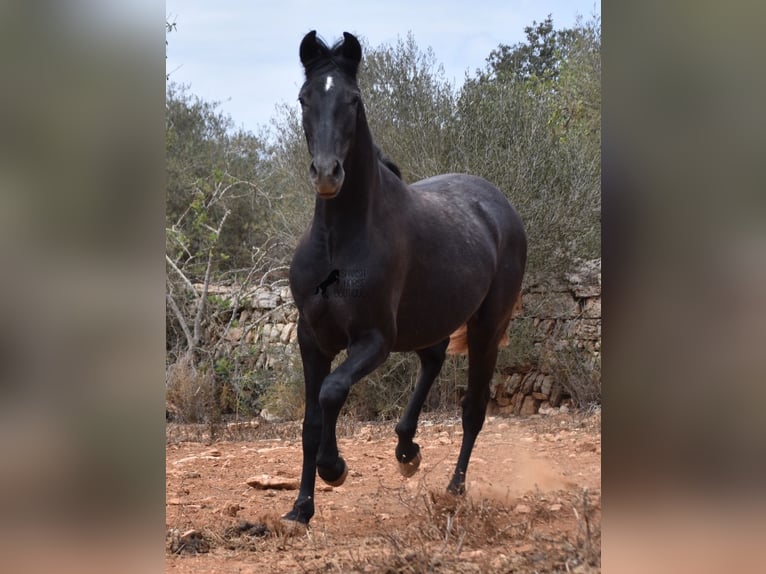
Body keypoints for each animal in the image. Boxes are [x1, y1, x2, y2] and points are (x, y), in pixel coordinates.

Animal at [282, 32, 528, 528]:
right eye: (304, 97)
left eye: (354, 100)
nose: (326, 174)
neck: (339, 240)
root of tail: (499, 205)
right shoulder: (311, 337)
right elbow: (311, 419)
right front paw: (300, 508)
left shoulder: (374, 339)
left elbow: (332, 392)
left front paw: (335, 468)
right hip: (430, 318)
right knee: (432, 360)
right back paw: (406, 450)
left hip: (486, 328)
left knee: (473, 410)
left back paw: (454, 489)